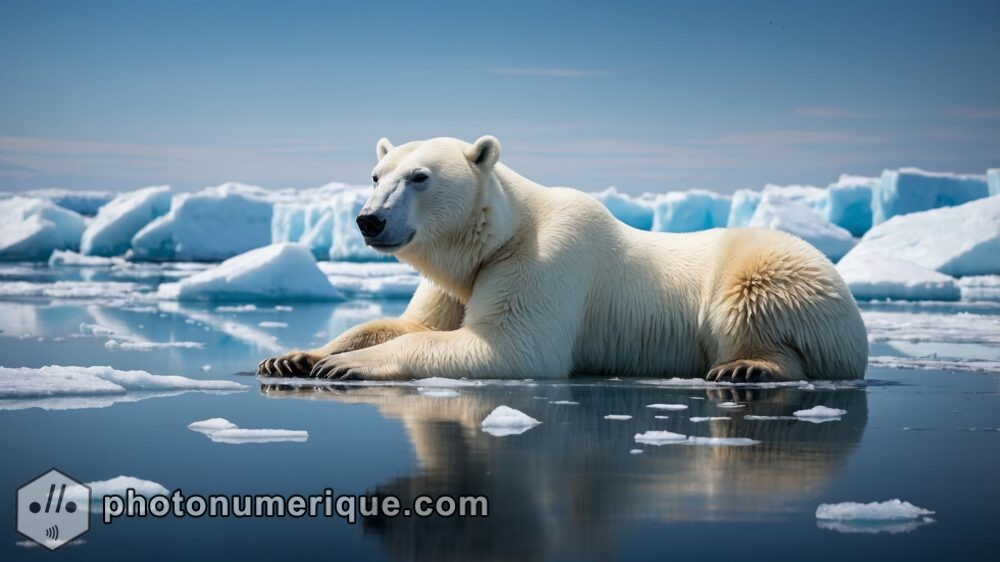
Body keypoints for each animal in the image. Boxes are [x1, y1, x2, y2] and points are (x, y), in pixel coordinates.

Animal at [260, 136, 868, 380]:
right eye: (375, 175)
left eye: (419, 177)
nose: (370, 220)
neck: (499, 234)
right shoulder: (459, 279)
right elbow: (410, 323)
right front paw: (296, 357)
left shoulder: (545, 260)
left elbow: (510, 346)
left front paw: (347, 365)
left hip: (777, 270)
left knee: (755, 300)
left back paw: (751, 365)